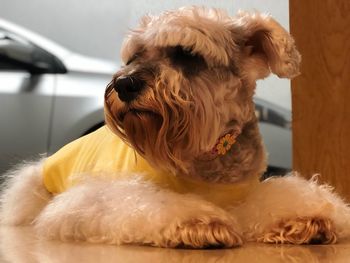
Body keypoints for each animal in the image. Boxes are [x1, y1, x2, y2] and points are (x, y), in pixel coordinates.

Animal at [0, 6, 350, 250]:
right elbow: (151, 204)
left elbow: (280, 198)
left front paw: (304, 219)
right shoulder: (99, 197)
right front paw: (198, 222)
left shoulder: (244, 192)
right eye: (134, 55)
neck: (206, 155)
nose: (124, 84)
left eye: (186, 53)